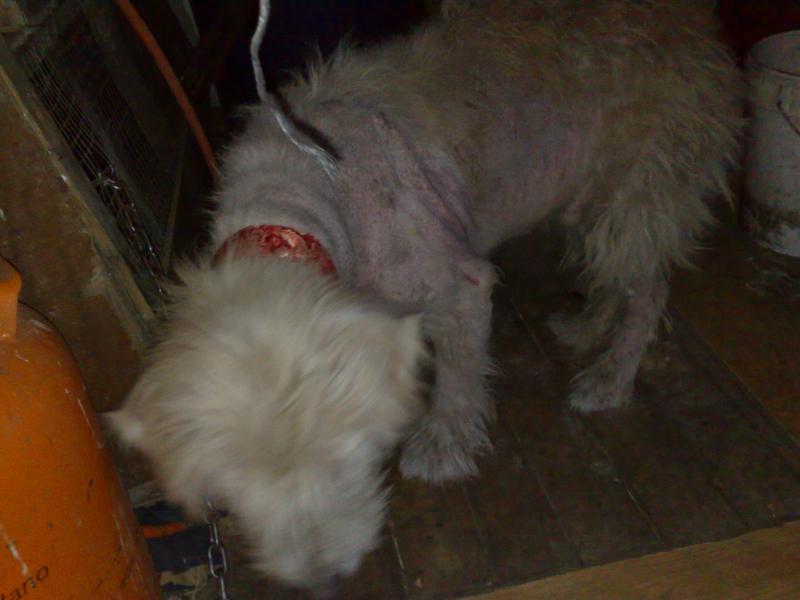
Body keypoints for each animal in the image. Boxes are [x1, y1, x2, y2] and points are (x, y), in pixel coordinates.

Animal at [108, 0, 742, 593]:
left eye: (338, 458)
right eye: (235, 485)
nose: (323, 582)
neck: (292, 203)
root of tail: (690, 20)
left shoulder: (461, 288)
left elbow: (458, 378)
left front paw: (444, 448)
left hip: (633, 199)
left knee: (648, 286)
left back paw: (611, 377)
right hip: (584, 203)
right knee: (616, 278)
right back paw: (587, 327)